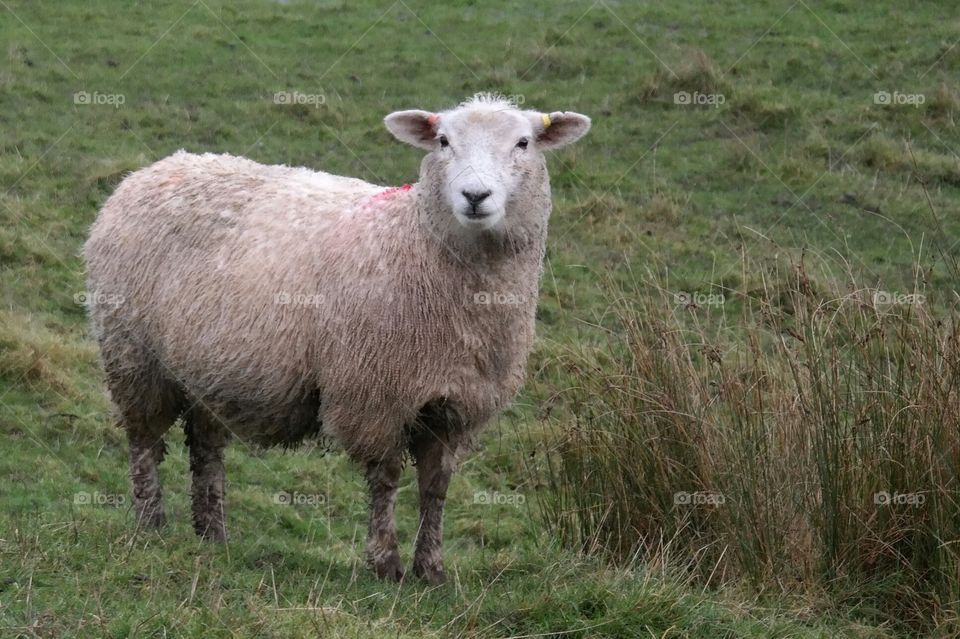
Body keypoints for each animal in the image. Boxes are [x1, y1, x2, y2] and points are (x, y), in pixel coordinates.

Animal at [84, 93, 590, 584]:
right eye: (443, 141)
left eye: (523, 143)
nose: (475, 195)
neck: (418, 243)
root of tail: (154, 169)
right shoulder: (376, 394)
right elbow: (385, 479)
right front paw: (386, 565)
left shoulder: (457, 407)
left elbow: (435, 487)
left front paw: (432, 570)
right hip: (132, 353)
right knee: (144, 440)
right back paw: (150, 524)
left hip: (207, 366)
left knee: (206, 447)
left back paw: (212, 534)